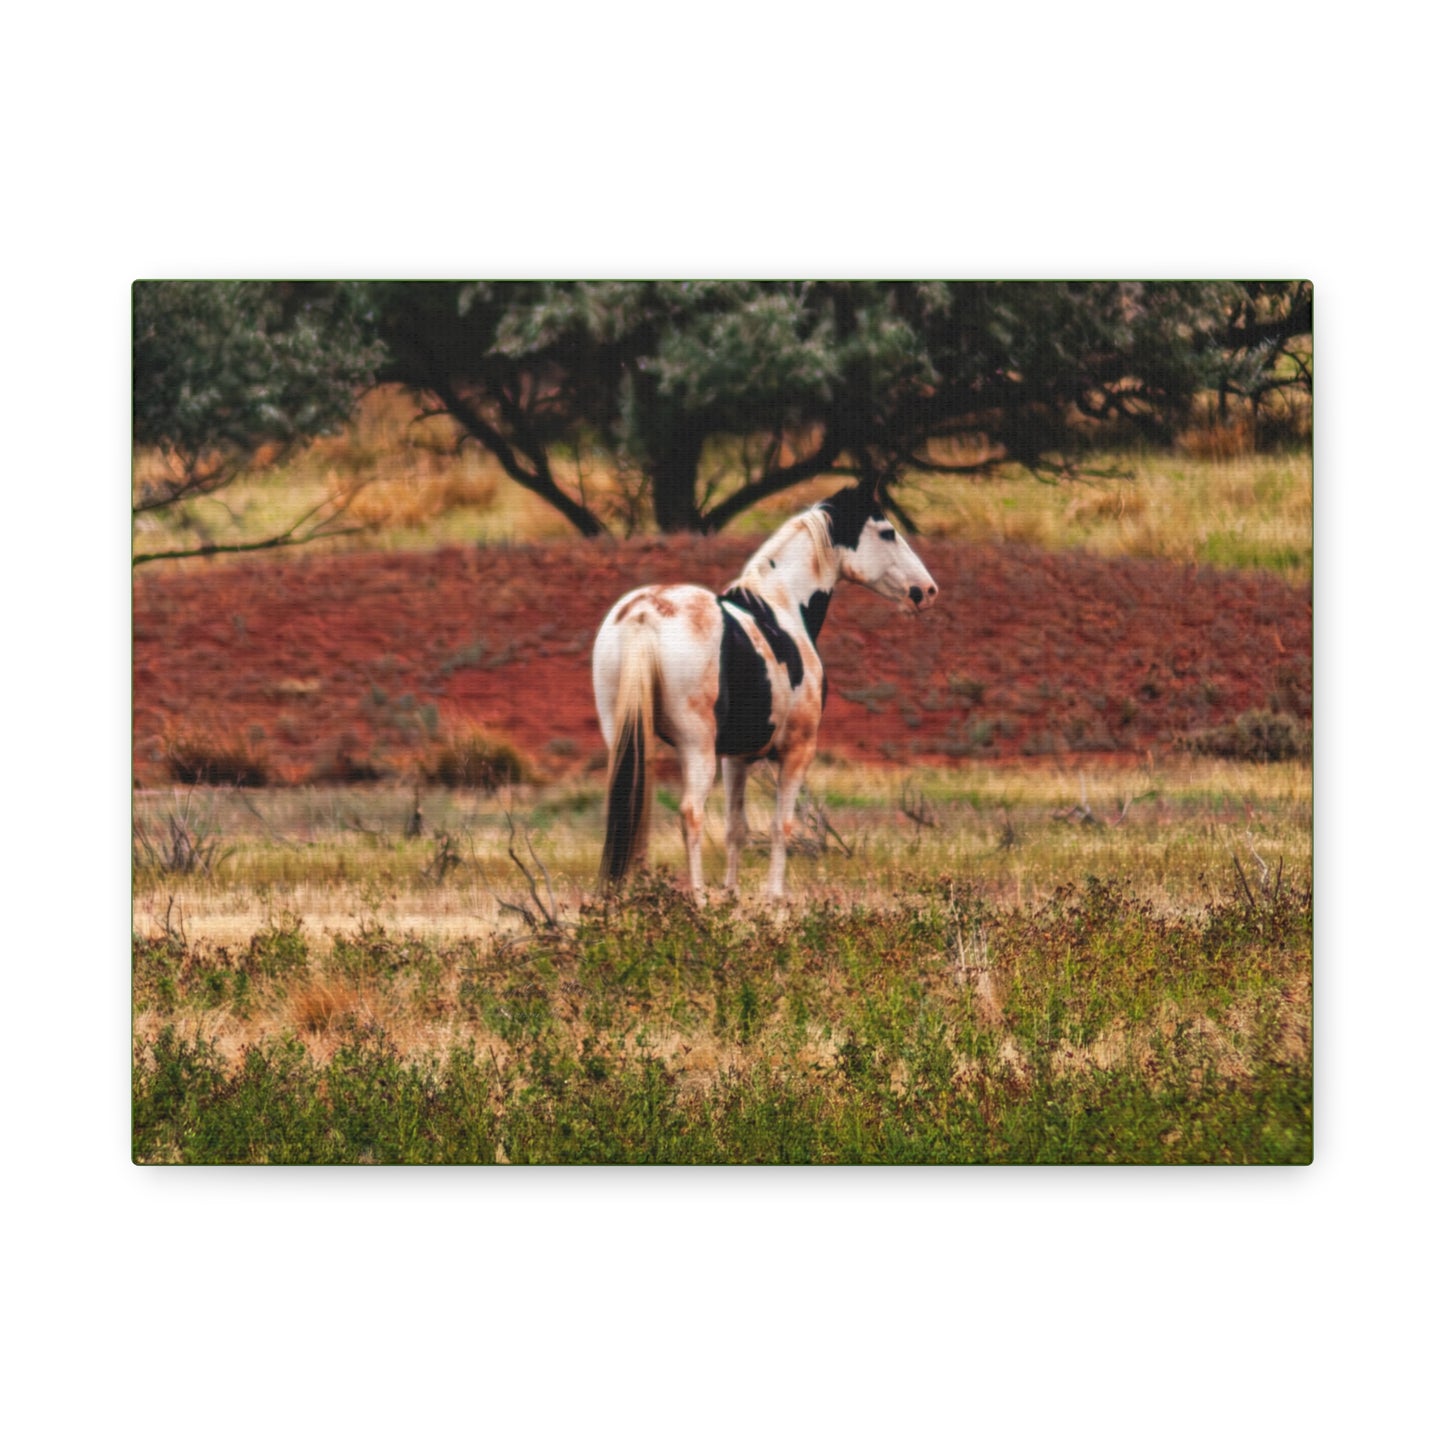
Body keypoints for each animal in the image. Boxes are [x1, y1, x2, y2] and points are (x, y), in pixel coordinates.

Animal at [591, 482, 938, 901]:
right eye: (887, 532)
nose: (927, 591)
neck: (781, 608)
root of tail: (644, 614)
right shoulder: (797, 751)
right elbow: (781, 825)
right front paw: (774, 897)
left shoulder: (735, 758)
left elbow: (735, 828)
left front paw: (732, 895)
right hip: (695, 746)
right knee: (691, 813)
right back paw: (698, 898)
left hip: (627, 736)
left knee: (632, 806)